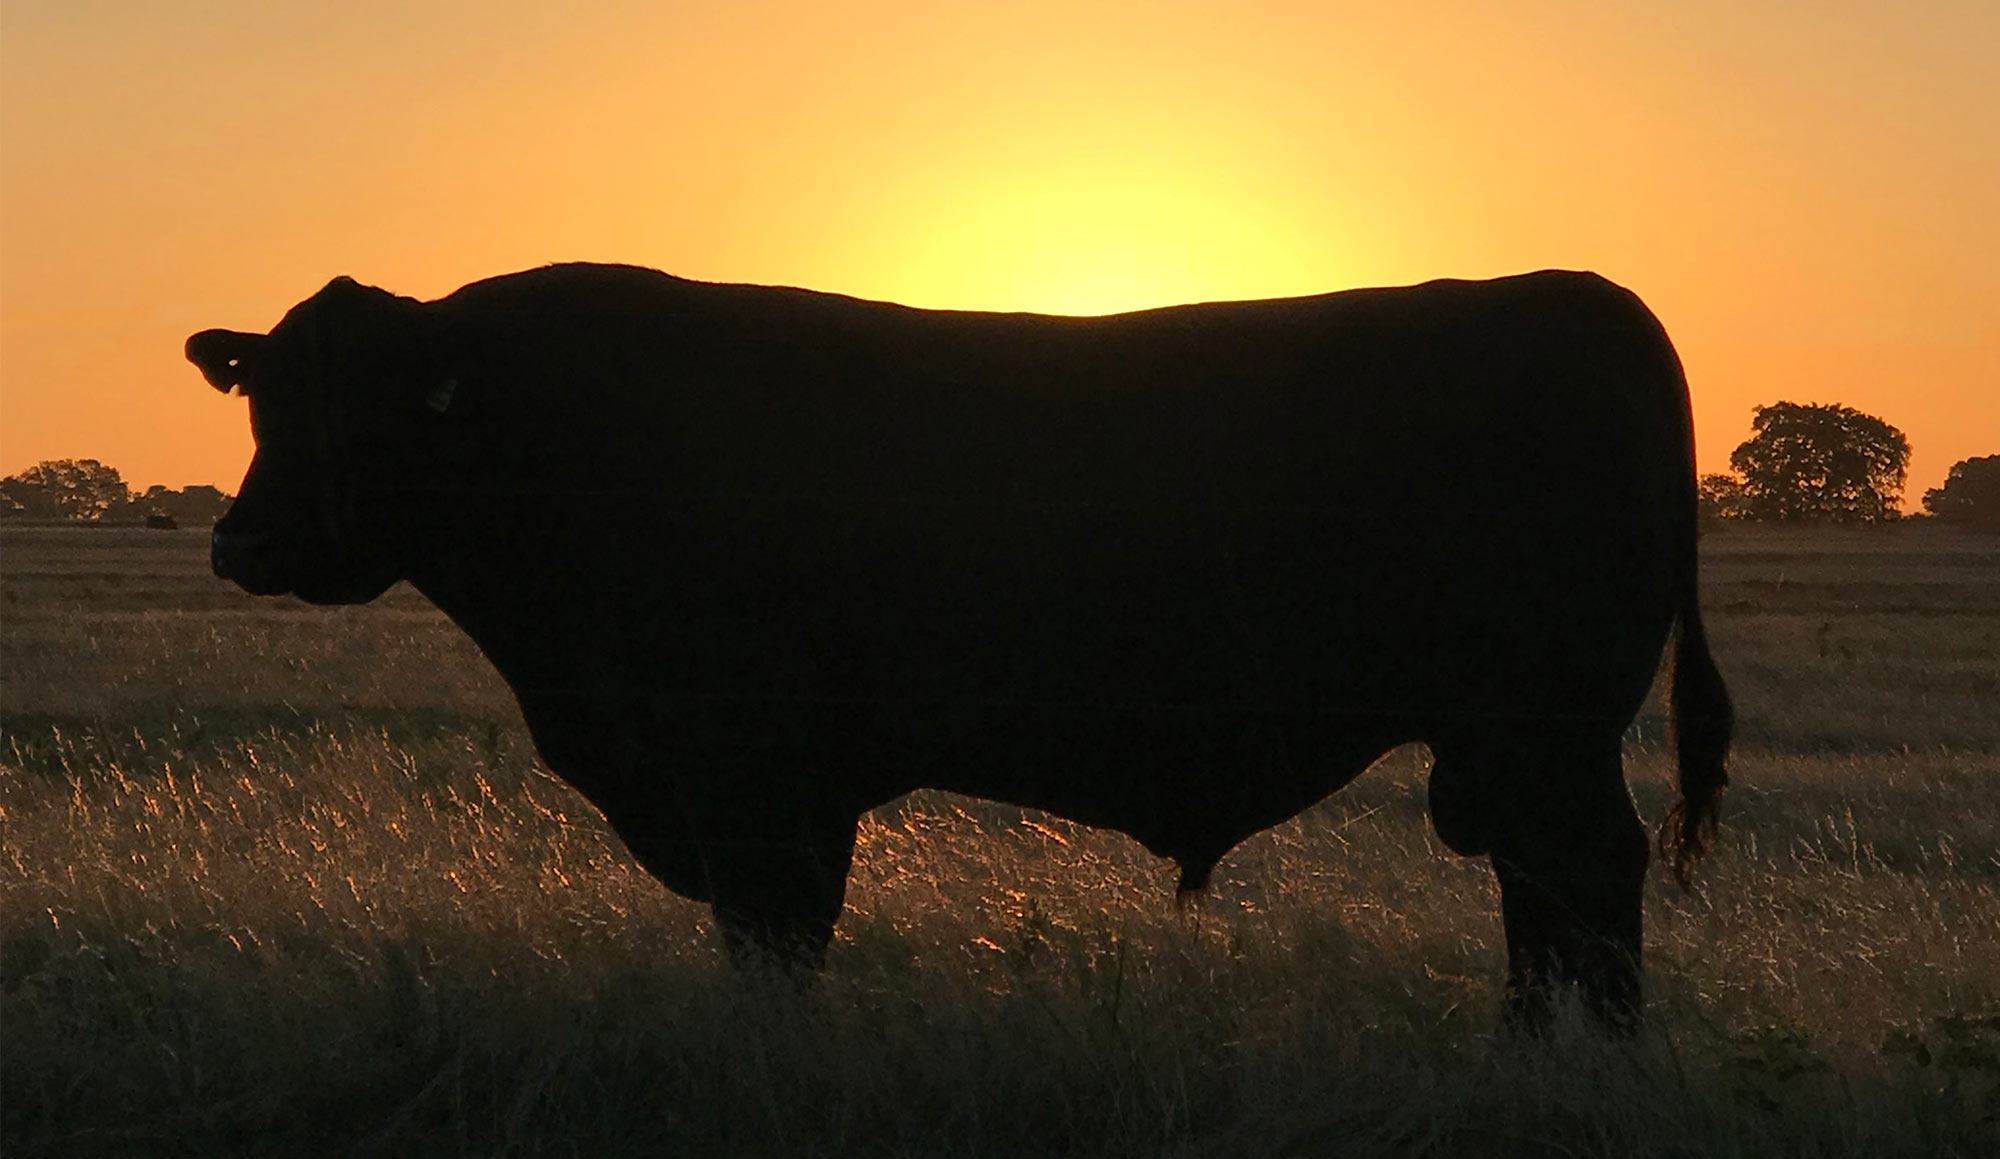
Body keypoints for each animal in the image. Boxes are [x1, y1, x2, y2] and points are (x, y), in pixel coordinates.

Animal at [188, 261, 1728, 1023]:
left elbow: (775, 948)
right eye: (262, 393)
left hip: (1543, 732)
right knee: (1543, 898)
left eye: (363, 408)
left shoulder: (764, 782)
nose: (241, 543)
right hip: (1513, 745)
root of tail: (1585, 292)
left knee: (1587, 884)